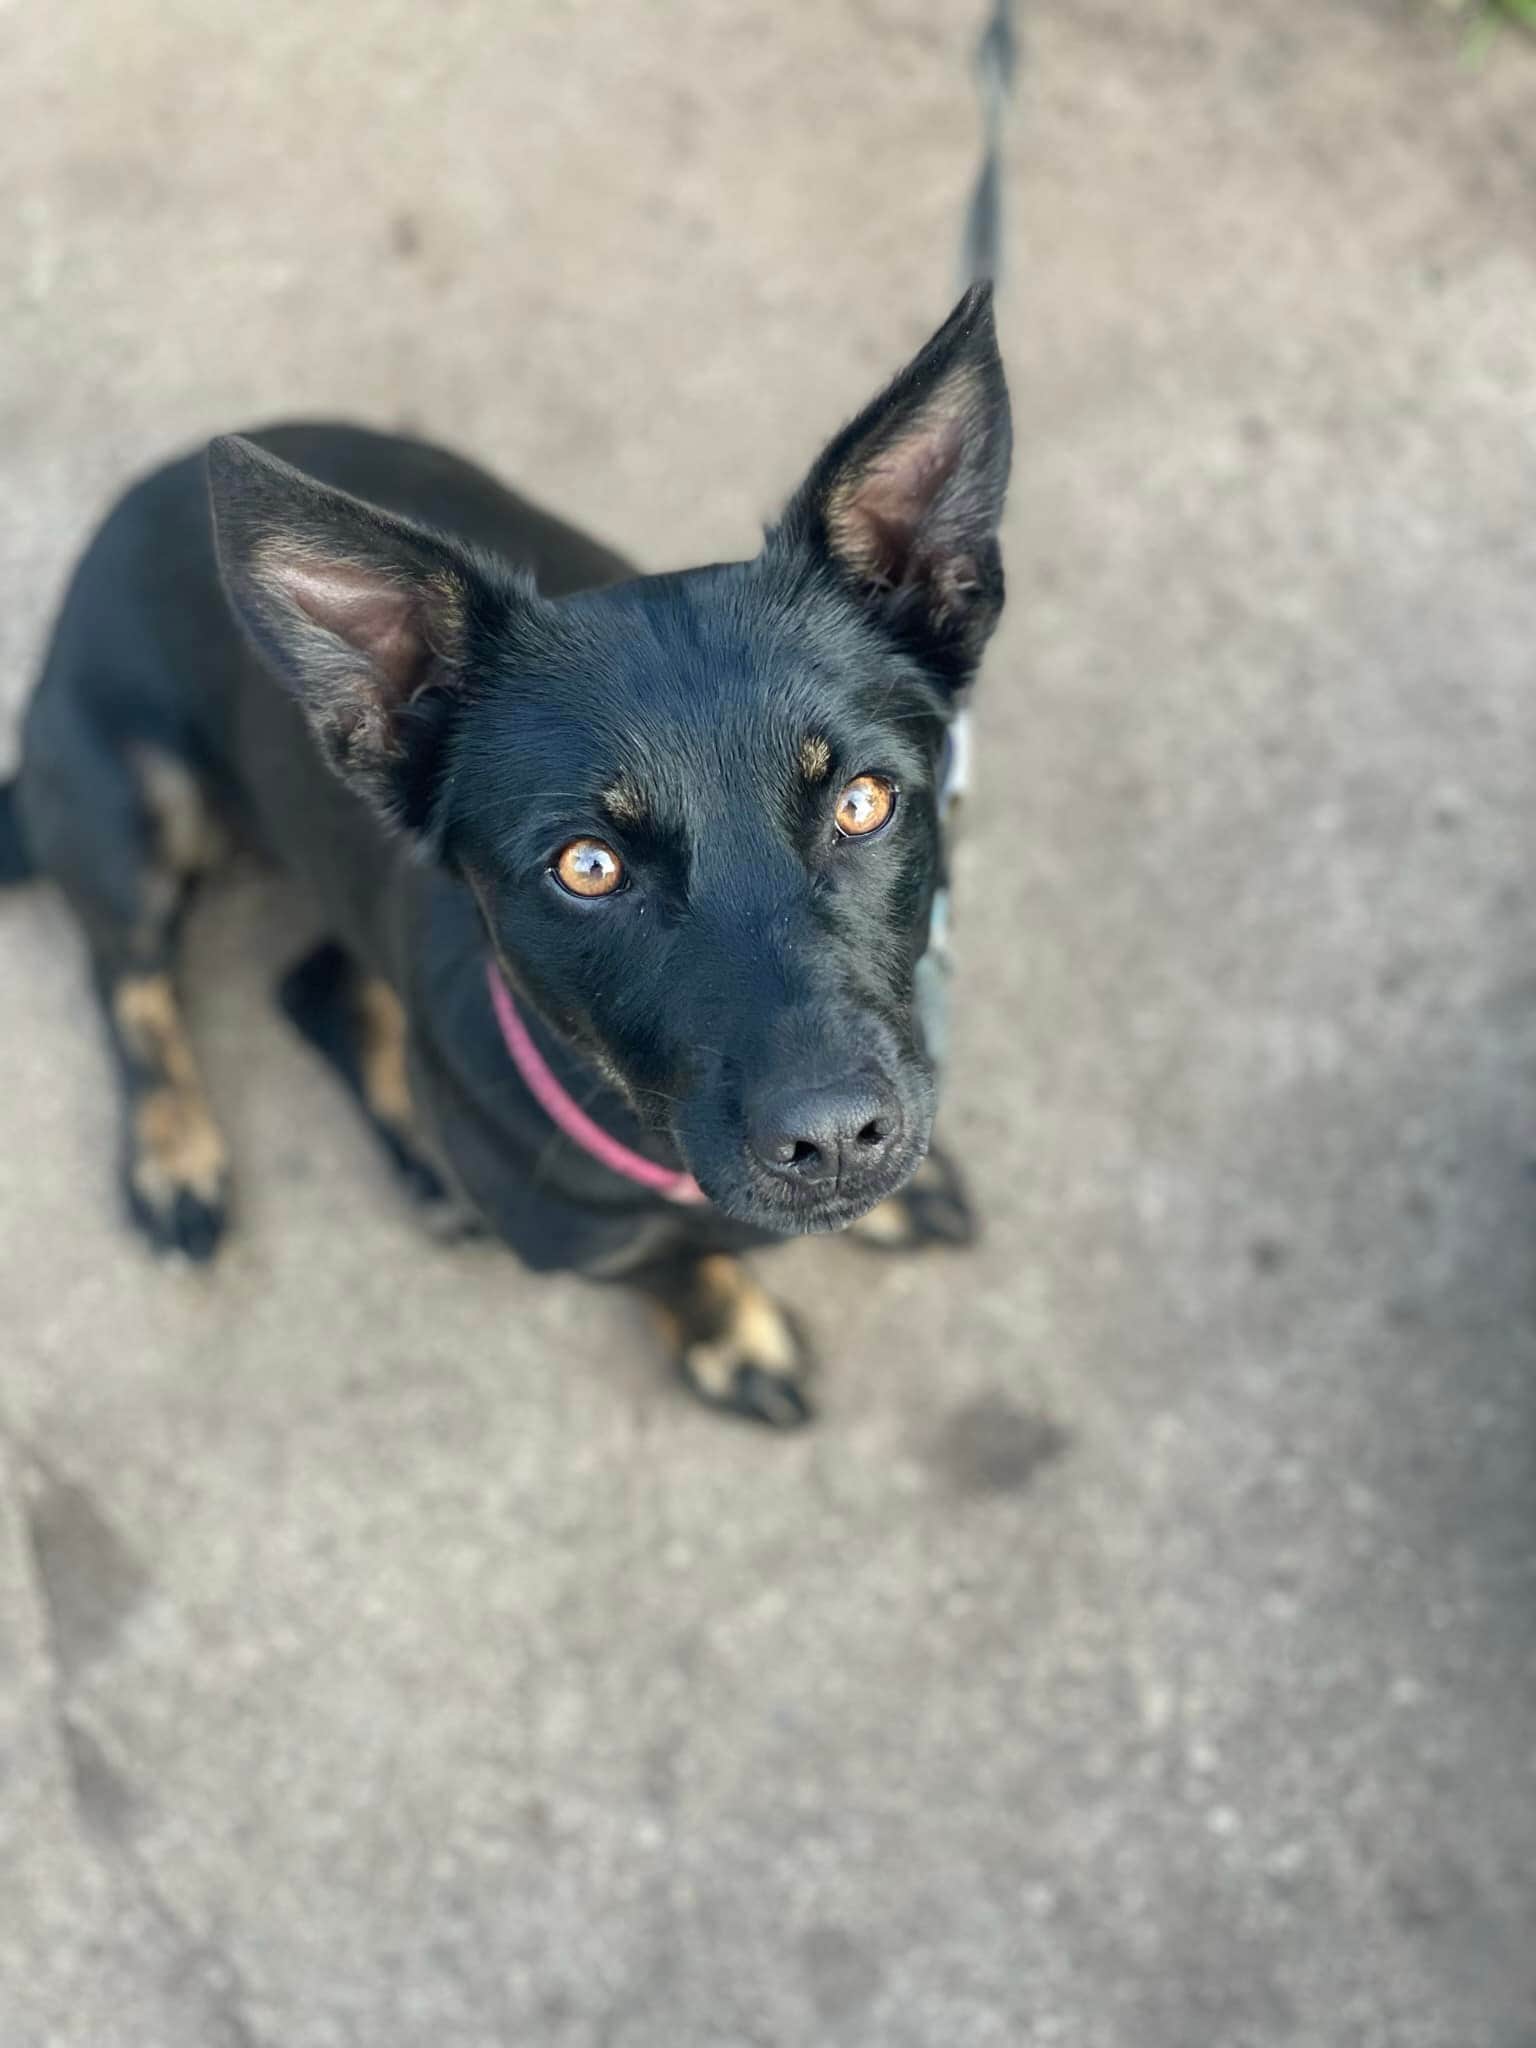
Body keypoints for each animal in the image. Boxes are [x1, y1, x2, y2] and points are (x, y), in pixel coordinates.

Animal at [1, 285, 1011, 1425]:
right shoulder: (590, 1244)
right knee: (130, 982)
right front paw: (723, 1326)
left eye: (863, 800)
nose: (836, 1137)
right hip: (131, 809)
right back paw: (178, 1160)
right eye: (587, 867)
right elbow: (668, 1269)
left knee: (313, 984)